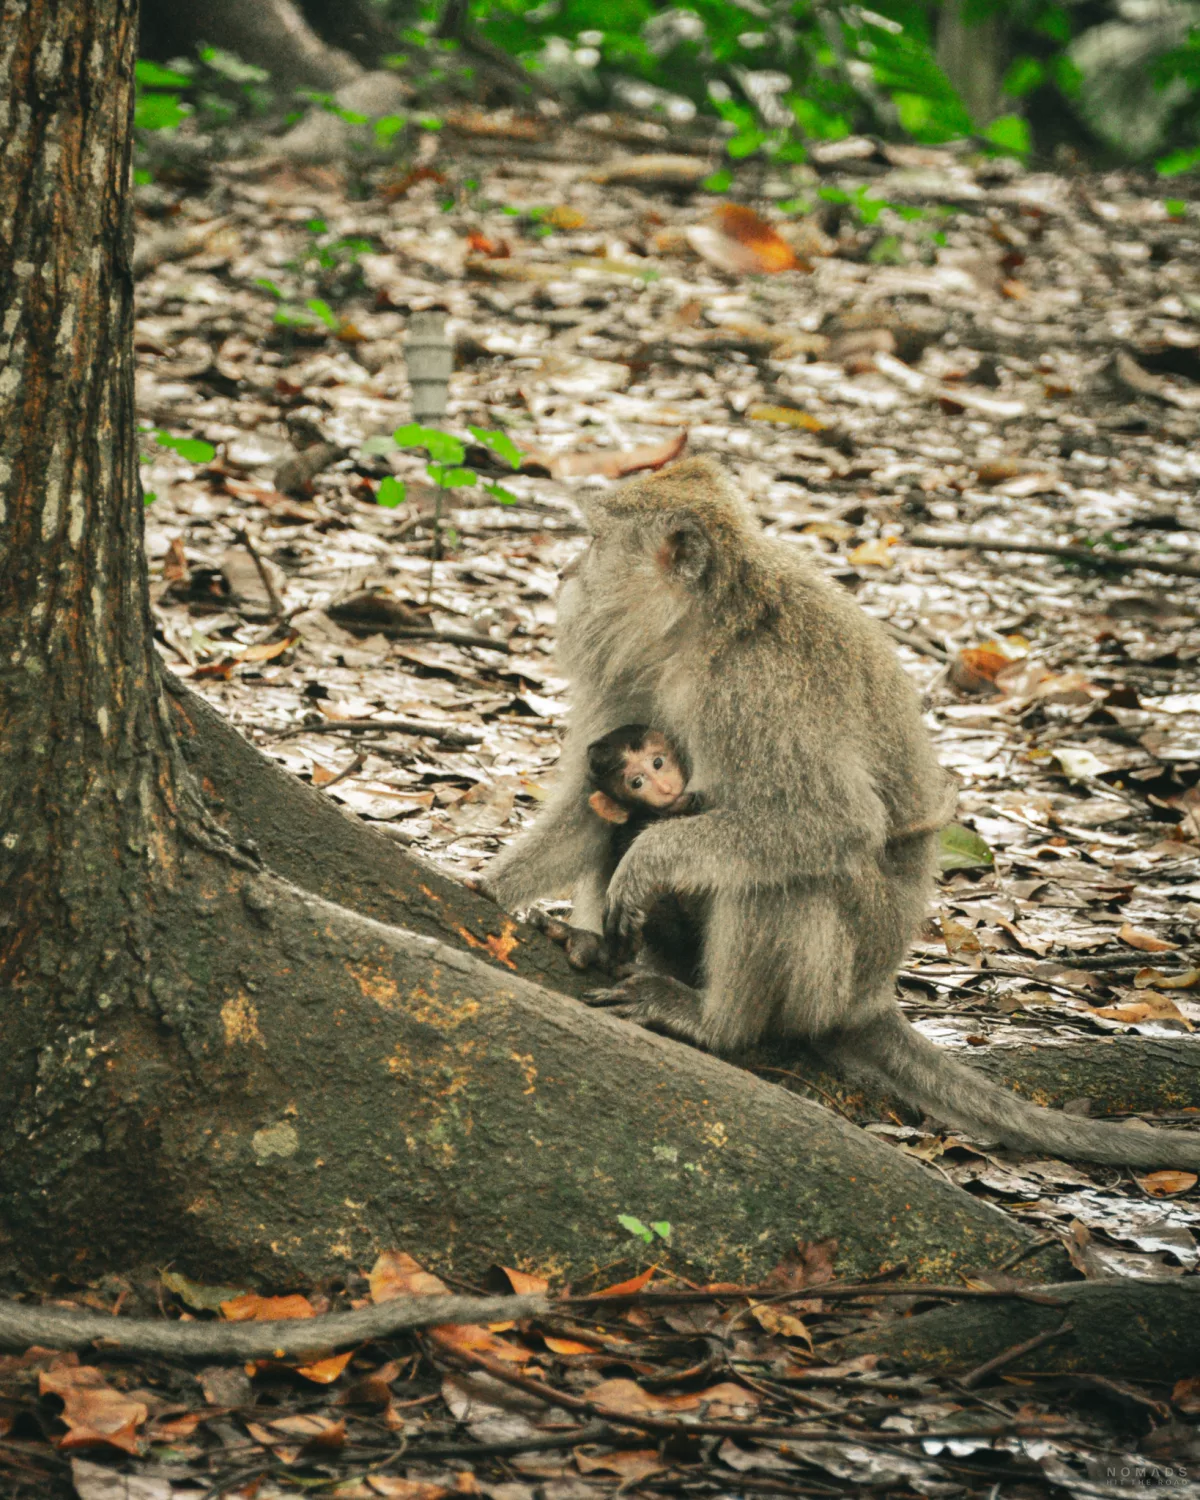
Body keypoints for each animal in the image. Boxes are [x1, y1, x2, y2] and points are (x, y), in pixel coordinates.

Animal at [478, 454, 1200, 1171]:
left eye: (596, 541)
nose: (567, 574)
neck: (704, 629)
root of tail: (871, 996)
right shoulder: (635, 674)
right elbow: (595, 806)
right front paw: (488, 887)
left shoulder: (754, 690)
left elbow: (833, 822)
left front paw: (650, 859)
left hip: (833, 976)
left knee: (787, 875)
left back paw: (717, 1023)